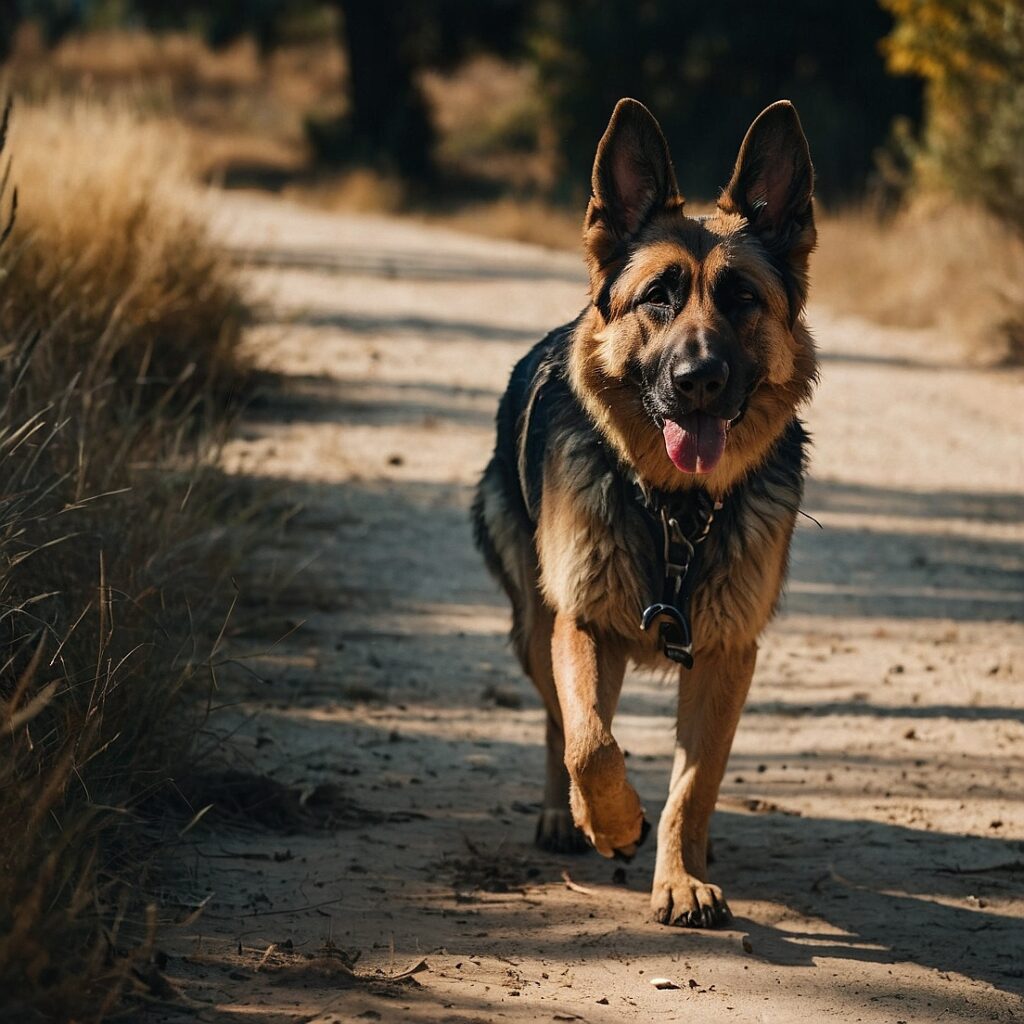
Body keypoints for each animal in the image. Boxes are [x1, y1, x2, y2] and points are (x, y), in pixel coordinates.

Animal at [471, 97, 815, 929]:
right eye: (658, 295)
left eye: (742, 298)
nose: (699, 380)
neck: (676, 511)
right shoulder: (584, 623)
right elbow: (591, 744)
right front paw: (612, 820)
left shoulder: (727, 653)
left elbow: (693, 787)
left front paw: (682, 876)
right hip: (538, 627)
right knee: (559, 723)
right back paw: (566, 816)